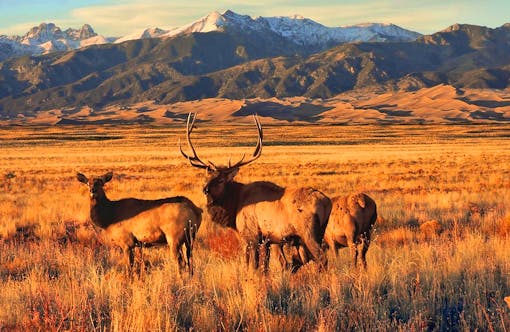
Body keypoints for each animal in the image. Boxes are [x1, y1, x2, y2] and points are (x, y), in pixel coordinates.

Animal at [179, 113, 330, 272]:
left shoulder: (251, 235)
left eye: (221, 180)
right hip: (319, 232)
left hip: (308, 232)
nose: (205, 189)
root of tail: (327, 203)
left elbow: (251, 265)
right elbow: (264, 267)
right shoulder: (266, 241)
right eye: (207, 176)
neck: (234, 207)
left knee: (321, 258)